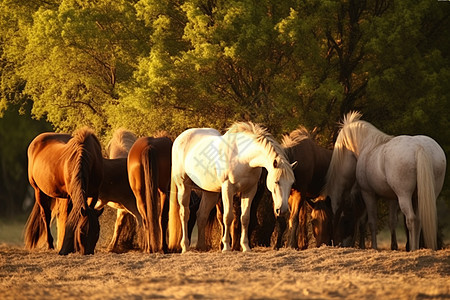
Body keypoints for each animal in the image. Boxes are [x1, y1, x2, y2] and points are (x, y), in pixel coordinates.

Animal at [167, 122, 298, 253]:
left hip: (210, 192)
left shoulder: (249, 190)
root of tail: (180, 138)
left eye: (291, 183)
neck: (242, 157)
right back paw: (185, 247)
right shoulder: (227, 189)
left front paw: (246, 247)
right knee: (185, 214)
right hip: (184, 187)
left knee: (202, 215)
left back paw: (201, 247)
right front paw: (226, 247)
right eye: (276, 182)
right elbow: (228, 217)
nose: (282, 210)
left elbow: (245, 218)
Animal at [324, 111, 446, 250]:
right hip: (424, 195)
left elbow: (372, 222)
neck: (367, 145)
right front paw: (394, 247)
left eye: (345, 220)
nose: (339, 243)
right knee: (420, 220)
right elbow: (392, 221)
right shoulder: (392, 198)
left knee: (412, 220)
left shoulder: (368, 194)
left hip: (404, 196)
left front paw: (374, 247)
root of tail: (419, 147)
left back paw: (413, 249)